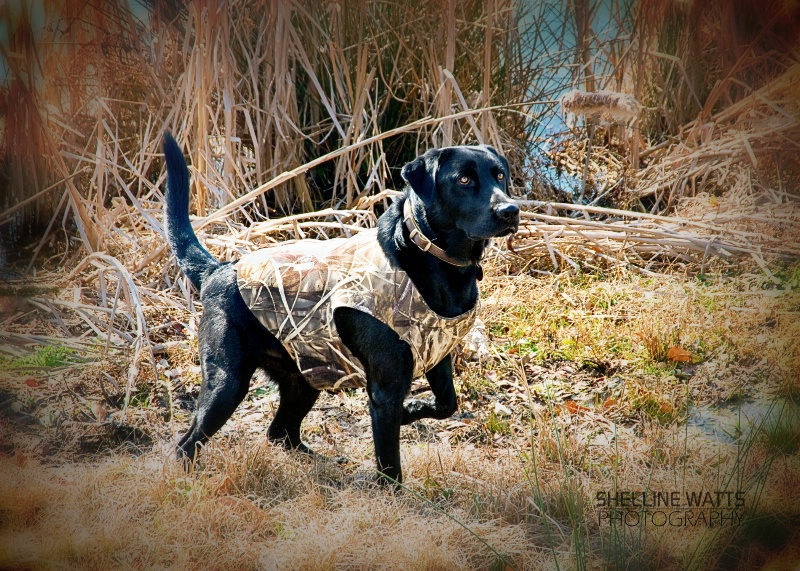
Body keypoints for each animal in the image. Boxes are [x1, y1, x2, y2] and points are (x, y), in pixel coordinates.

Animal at [166, 133, 520, 482]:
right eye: (464, 180)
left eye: (500, 175)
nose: (510, 210)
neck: (430, 257)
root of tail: (219, 270)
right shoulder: (386, 387)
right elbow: (390, 463)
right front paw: (392, 491)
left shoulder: (437, 353)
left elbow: (448, 403)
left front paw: (410, 413)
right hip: (228, 382)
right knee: (187, 443)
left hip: (305, 376)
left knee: (280, 432)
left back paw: (326, 466)